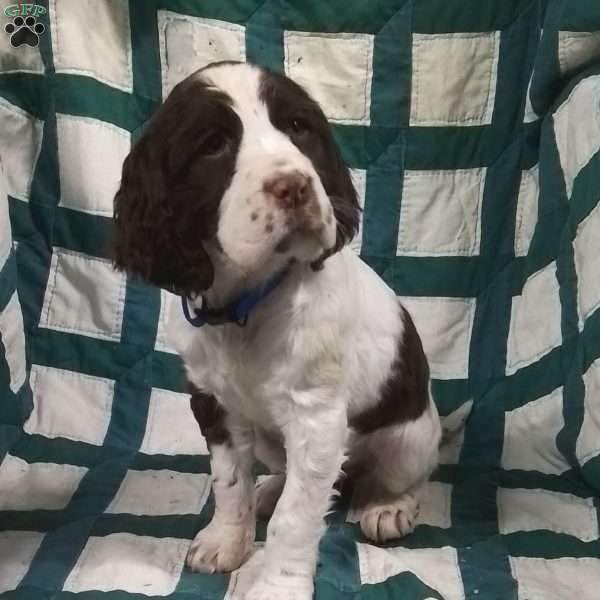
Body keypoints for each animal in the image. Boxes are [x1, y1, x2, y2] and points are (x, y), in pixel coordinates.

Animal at [111, 62, 440, 600]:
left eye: (298, 128)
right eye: (213, 146)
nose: (295, 187)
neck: (247, 306)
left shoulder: (317, 418)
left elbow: (298, 516)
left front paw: (276, 584)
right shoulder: (213, 402)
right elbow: (229, 482)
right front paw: (227, 541)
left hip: (408, 437)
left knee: (401, 478)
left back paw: (388, 506)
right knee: (287, 473)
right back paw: (269, 489)